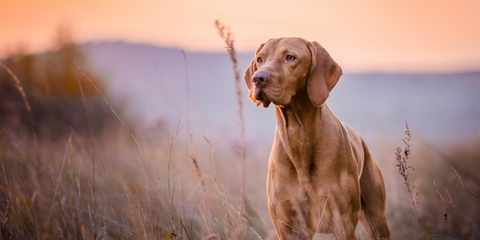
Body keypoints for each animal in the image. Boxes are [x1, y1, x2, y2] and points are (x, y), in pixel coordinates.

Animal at [244, 38, 390, 240]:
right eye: (260, 59)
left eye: (290, 57)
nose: (258, 78)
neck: (298, 135)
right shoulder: (287, 227)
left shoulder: (343, 224)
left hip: (376, 219)